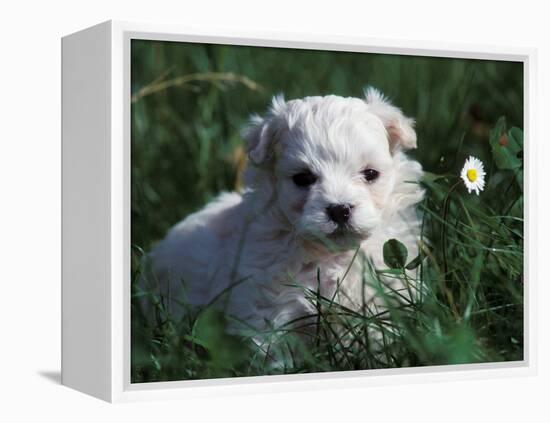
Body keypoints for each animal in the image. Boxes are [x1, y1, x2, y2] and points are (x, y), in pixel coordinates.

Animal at [144, 88, 424, 342]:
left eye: (370, 174)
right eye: (303, 178)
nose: (339, 209)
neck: (331, 256)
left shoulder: (381, 301)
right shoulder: (270, 309)